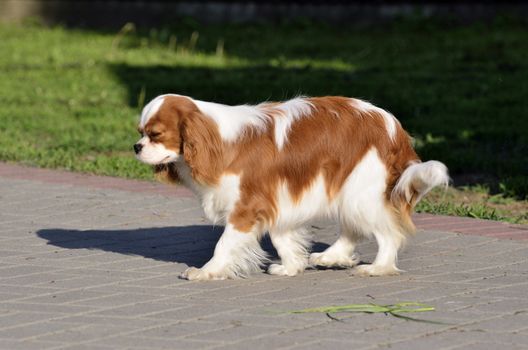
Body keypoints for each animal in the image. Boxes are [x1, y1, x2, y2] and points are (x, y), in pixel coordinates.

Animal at [134, 94, 448, 280]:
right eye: (140, 133)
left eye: (155, 134)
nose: (136, 147)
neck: (219, 139)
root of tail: (395, 129)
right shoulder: (276, 200)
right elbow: (281, 237)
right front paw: (291, 266)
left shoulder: (246, 206)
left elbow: (224, 244)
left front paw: (207, 271)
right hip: (348, 191)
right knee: (353, 229)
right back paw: (331, 257)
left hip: (360, 191)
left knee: (388, 233)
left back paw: (378, 267)